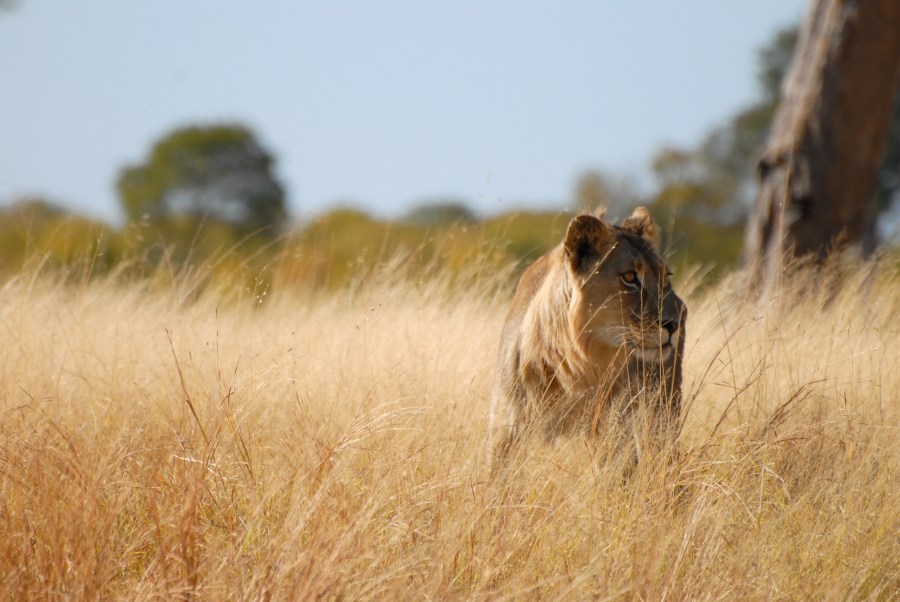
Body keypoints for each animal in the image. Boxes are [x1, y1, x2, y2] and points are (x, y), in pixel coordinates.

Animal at [486, 207, 686, 472]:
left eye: (666, 277)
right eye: (630, 277)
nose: (675, 322)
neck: (568, 366)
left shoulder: (610, 434)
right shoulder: (504, 432)